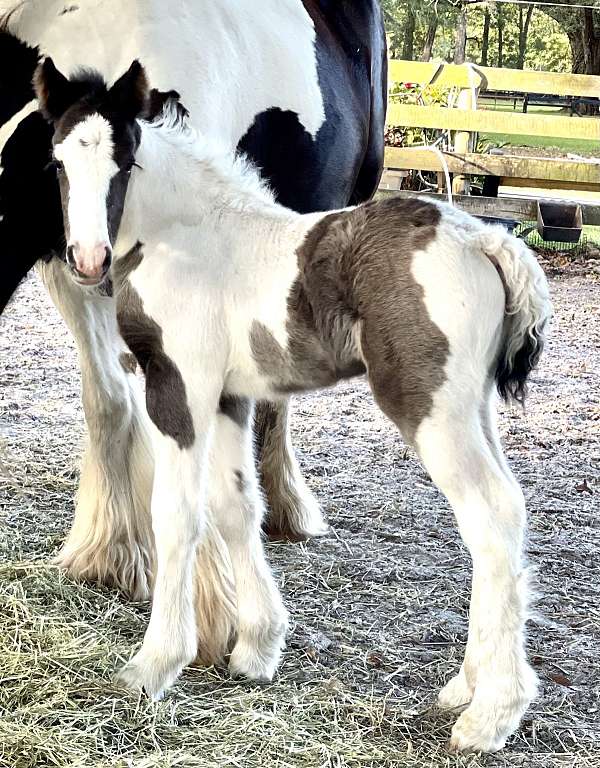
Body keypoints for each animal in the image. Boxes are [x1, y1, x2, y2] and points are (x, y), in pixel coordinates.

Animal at [0, 1, 386, 636]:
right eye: (55, 164)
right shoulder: (72, 265)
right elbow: (108, 401)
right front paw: (111, 554)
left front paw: (212, 617)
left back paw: (282, 504)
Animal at [35, 58, 552, 752]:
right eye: (59, 160)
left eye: (125, 161)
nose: (87, 260)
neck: (187, 235)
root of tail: (487, 241)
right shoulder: (228, 396)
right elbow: (236, 507)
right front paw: (257, 649)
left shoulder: (178, 385)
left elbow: (176, 515)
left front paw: (153, 665)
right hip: (473, 409)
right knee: (506, 514)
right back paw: (465, 689)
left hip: (430, 410)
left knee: (491, 516)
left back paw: (490, 716)